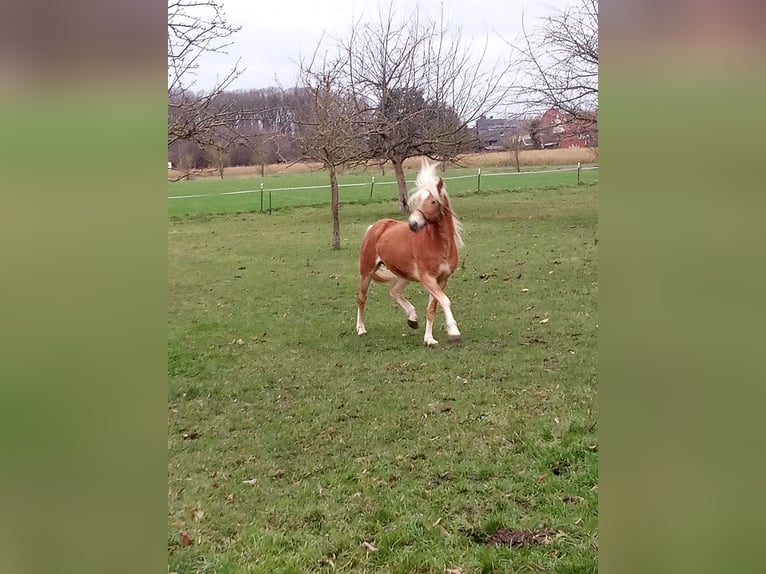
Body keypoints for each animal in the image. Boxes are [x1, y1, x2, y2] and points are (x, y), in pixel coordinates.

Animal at [355, 159, 464, 346]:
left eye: (433, 201)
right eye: (418, 199)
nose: (413, 224)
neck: (439, 244)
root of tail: (376, 226)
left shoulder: (442, 279)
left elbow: (432, 308)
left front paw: (429, 339)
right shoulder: (427, 279)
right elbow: (445, 300)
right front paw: (453, 332)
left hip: (403, 273)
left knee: (394, 291)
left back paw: (412, 319)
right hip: (367, 271)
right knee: (362, 298)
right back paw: (361, 329)